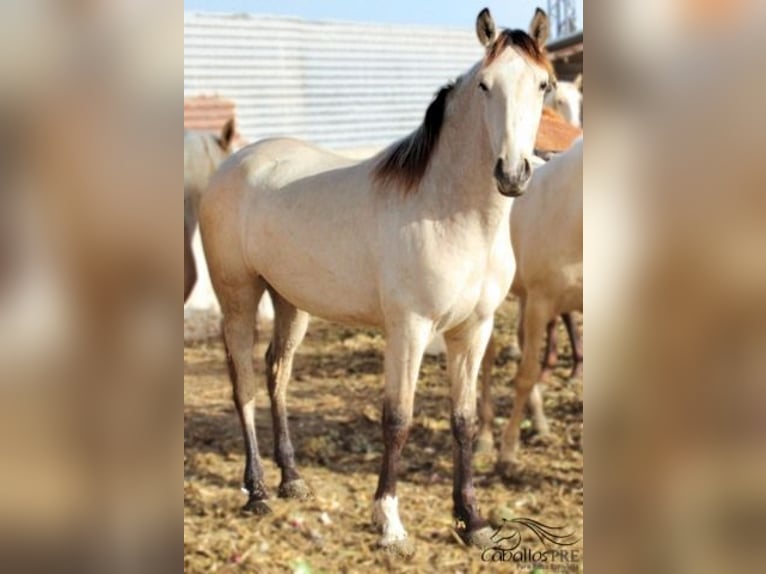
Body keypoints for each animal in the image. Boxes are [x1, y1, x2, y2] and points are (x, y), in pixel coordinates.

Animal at [201, 7, 556, 552]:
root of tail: (232, 164)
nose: (512, 174)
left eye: (543, 85)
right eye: (485, 85)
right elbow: (397, 419)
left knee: (277, 374)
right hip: (237, 297)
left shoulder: (472, 331)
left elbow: (463, 420)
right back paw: (257, 492)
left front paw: (472, 520)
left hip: (290, 302)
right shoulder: (409, 329)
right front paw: (388, 522)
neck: (449, 212)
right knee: (244, 386)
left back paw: (292, 480)